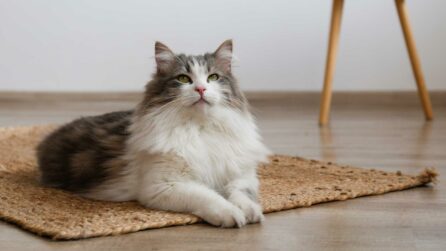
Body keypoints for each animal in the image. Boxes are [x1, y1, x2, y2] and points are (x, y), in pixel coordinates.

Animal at [37, 40, 268, 227]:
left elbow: (241, 194)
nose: (201, 89)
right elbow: (209, 197)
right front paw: (231, 214)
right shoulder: (164, 186)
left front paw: (251, 212)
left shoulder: (242, 176)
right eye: (184, 79)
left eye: (213, 77)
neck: (199, 128)